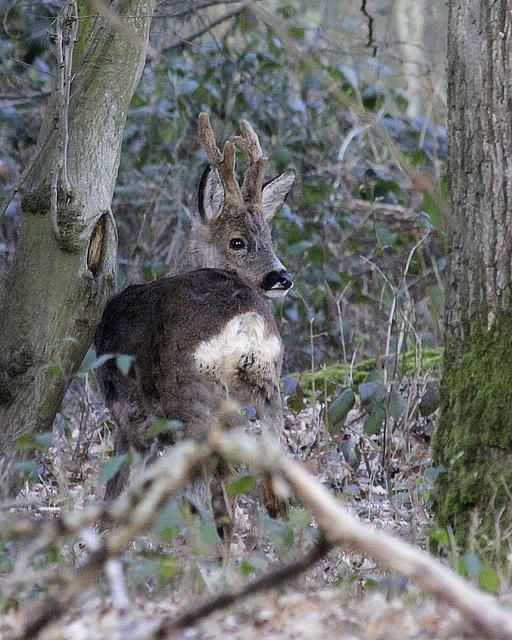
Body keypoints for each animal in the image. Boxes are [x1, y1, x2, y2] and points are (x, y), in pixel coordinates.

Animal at [95, 114, 296, 528]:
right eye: (238, 241)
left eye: (268, 237)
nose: (281, 278)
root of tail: (247, 322)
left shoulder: (130, 419)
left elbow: (118, 494)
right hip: (268, 393)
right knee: (276, 494)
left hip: (194, 399)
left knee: (221, 494)